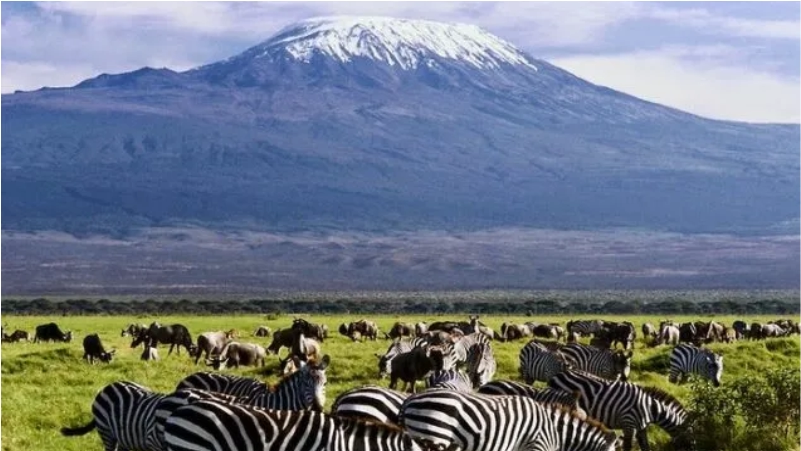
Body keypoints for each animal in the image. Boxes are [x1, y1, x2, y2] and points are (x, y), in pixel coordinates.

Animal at [549, 369, 694, 451]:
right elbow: (628, 447)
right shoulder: (629, 424)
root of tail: (557, 375)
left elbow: (645, 447)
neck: (650, 407)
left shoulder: (641, 428)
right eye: (690, 440)